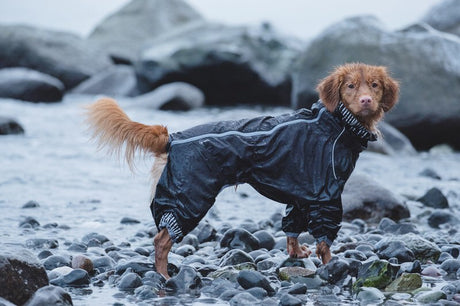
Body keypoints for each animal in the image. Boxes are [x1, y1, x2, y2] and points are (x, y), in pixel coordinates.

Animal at [85, 62, 398, 278]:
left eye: (374, 85)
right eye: (350, 87)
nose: (367, 100)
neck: (335, 123)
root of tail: (172, 137)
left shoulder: (301, 192)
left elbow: (293, 227)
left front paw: (297, 254)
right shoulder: (326, 194)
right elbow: (324, 239)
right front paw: (331, 265)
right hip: (189, 198)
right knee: (162, 239)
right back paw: (162, 274)